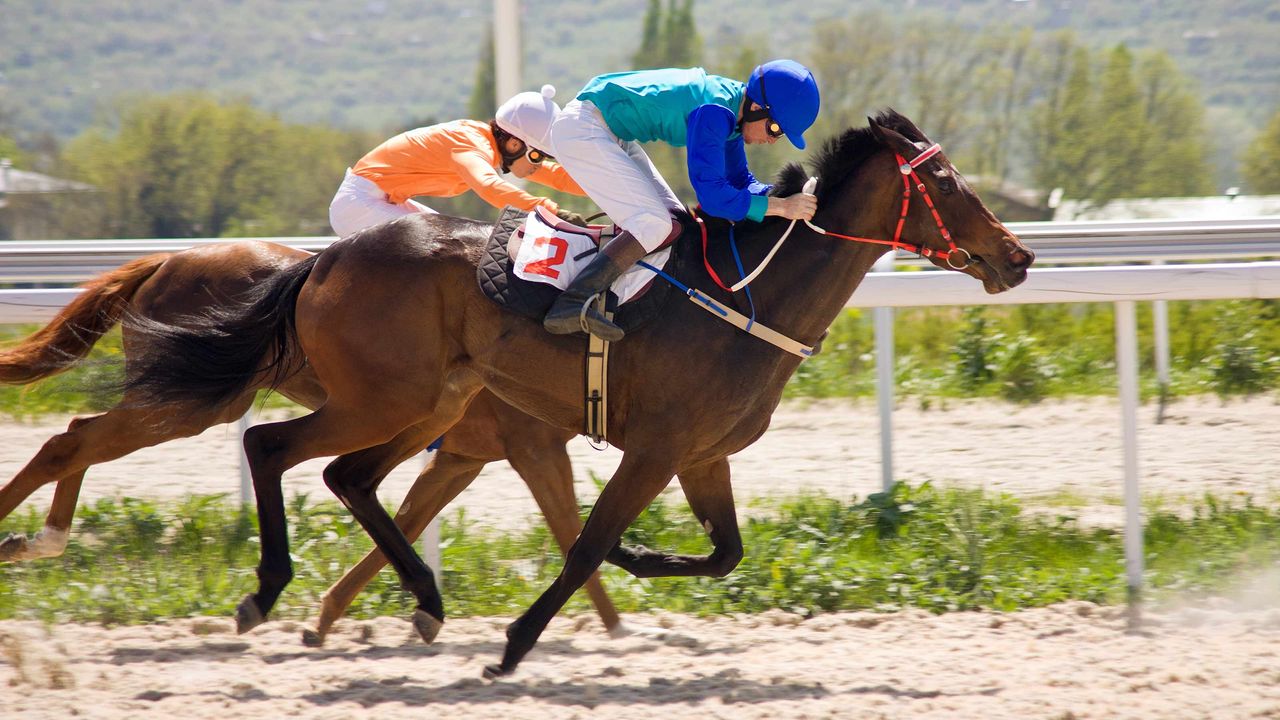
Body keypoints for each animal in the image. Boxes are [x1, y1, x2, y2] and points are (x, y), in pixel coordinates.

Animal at [0, 239, 624, 638]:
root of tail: (168, 259)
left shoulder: (460, 456)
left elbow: (407, 519)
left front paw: (333, 617)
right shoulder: (531, 449)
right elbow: (572, 533)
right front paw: (615, 627)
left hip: (200, 401)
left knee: (76, 437)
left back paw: (42, 539)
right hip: (193, 400)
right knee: (74, 443)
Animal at [124, 110, 1034, 671]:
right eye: (946, 181)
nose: (1018, 257)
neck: (748, 300)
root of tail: (325, 259)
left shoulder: (701, 456)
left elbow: (722, 553)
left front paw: (641, 559)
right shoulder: (655, 449)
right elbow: (589, 542)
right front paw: (516, 644)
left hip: (429, 402)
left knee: (349, 476)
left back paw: (422, 596)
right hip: (380, 399)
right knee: (269, 445)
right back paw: (268, 589)